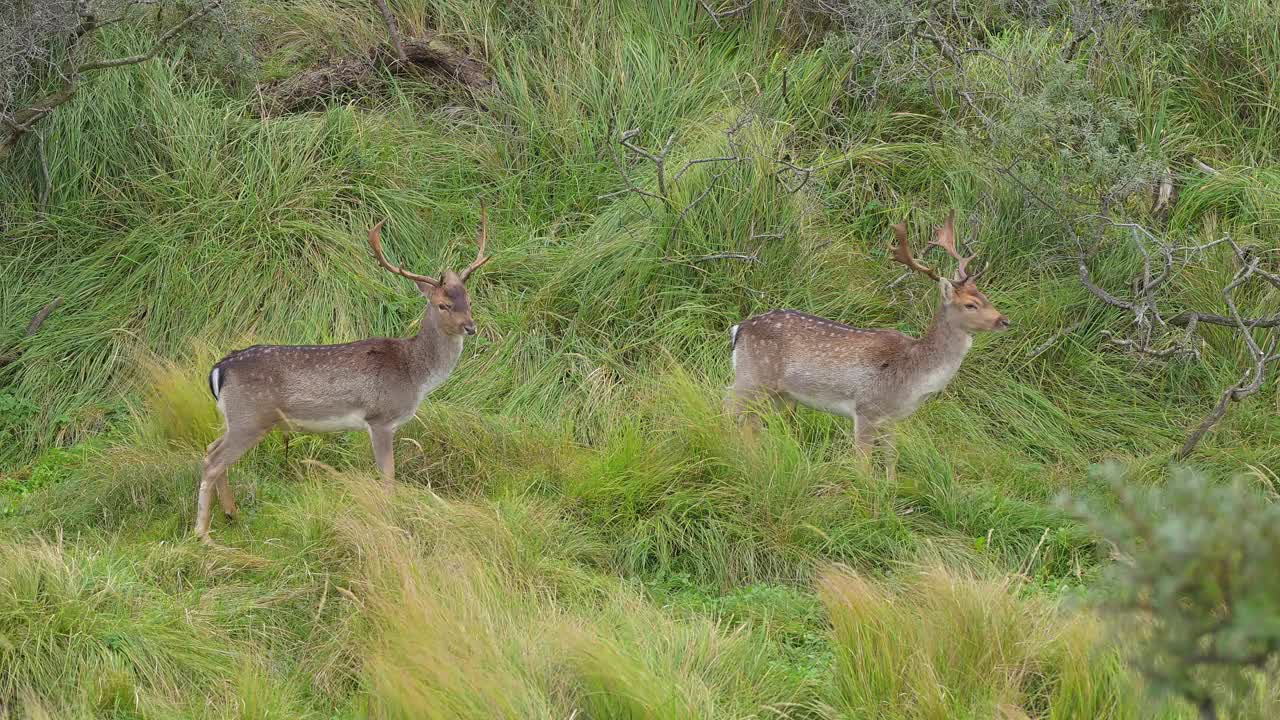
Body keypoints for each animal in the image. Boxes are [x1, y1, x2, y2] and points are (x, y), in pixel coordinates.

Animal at [197, 206, 491, 538]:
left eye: (469, 299)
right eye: (442, 305)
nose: (471, 327)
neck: (415, 374)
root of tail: (219, 369)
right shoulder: (380, 418)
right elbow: (388, 476)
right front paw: (391, 520)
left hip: (236, 419)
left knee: (211, 450)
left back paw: (231, 513)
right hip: (250, 418)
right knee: (213, 461)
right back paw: (203, 534)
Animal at [727, 210, 1003, 474]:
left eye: (985, 297)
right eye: (970, 304)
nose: (1004, 320)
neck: (914, 375)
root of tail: (739, 329)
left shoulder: (891, 419)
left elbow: (892, 459)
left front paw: (890, 486)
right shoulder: (866, 409)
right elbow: (863, 464)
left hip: (779, 393)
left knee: (752, 422)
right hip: (752, 377)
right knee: (731, 408)